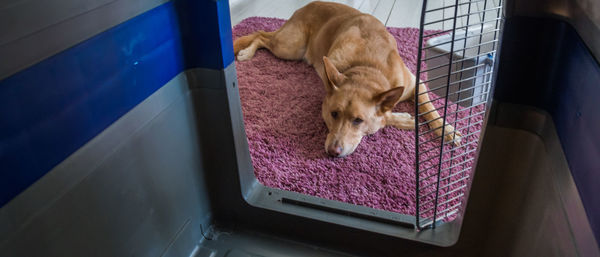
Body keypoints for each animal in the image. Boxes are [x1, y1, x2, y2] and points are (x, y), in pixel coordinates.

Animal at [232, 1, 462, 156]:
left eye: (358, 120)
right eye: (333, 114)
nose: (333, 152)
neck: (368, 70)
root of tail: (305, 6)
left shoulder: (416, 83)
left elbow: (430, 108)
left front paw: (447, 130)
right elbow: (384, 118)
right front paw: (403, 119)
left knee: (262, 34)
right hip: (290, 47)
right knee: (261, 35)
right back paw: (246, 52)